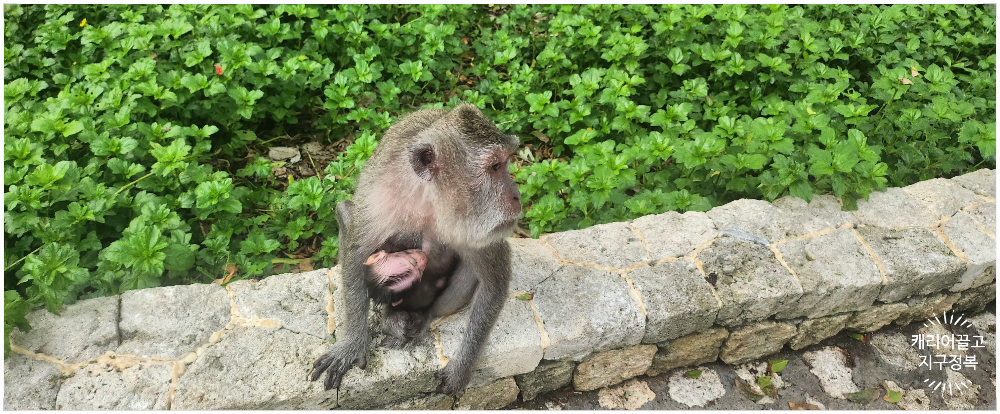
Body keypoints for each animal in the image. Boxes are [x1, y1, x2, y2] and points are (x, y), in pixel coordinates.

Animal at [312, 102, 524, 396]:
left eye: (505, 163)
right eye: (495, 166)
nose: (517, 196)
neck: (428, 198)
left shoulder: (479, 226)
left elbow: (494, 283)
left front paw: (461, 368)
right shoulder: (380, 200)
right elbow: (356, 254)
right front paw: (351, 344)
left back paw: (422, 319)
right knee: (345, 213)